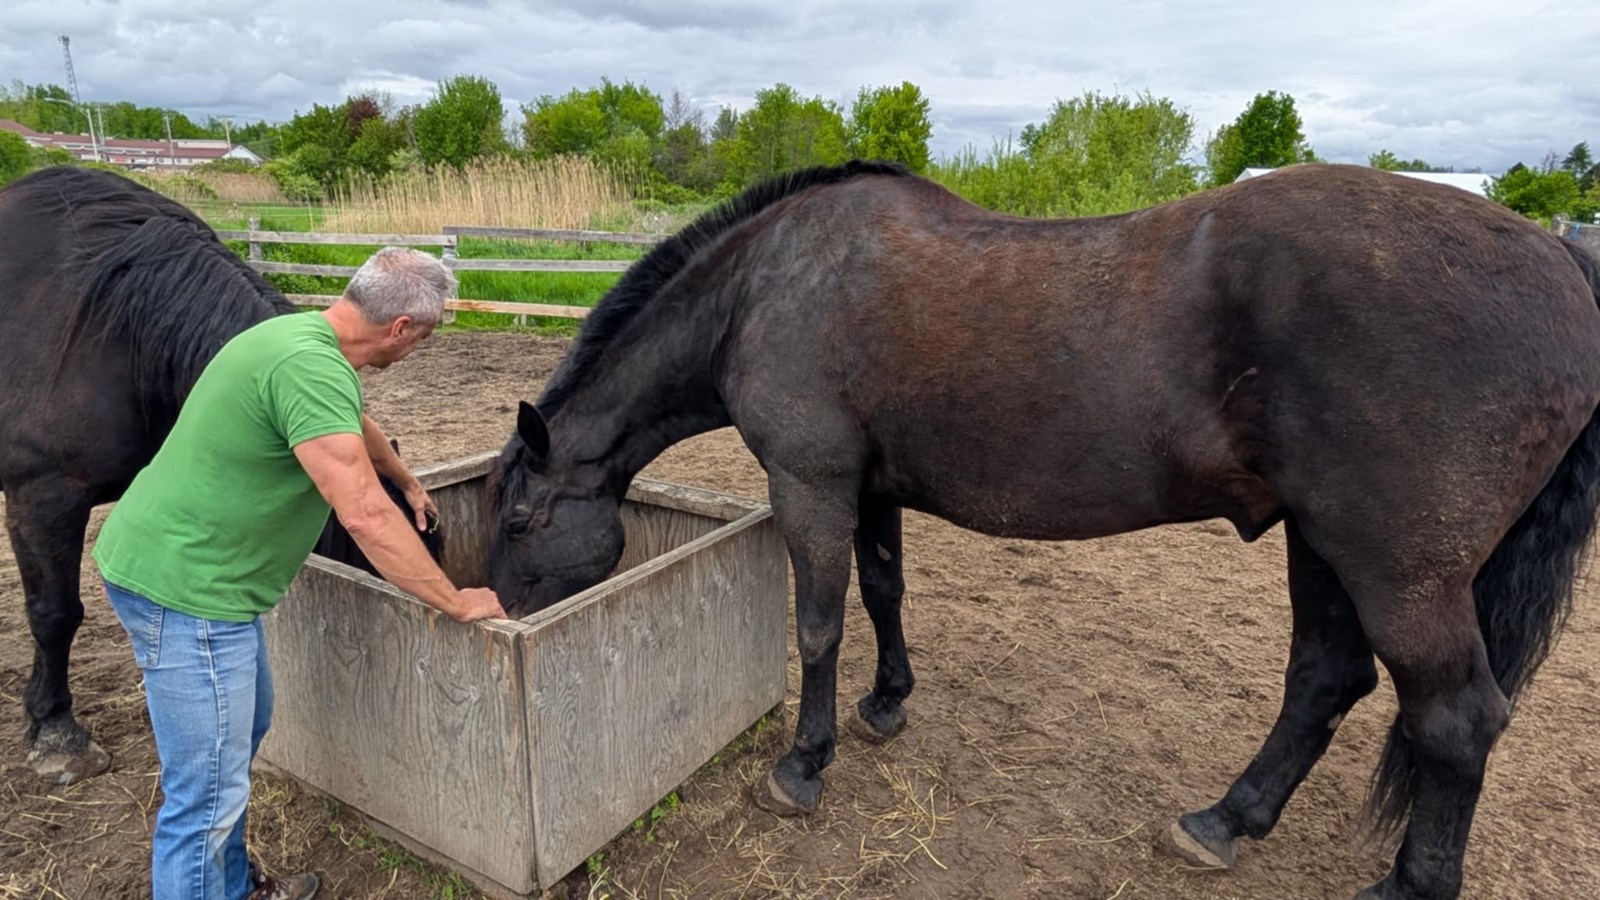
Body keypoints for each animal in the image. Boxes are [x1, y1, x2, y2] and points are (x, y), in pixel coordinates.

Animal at [484, 160, 1600, 899]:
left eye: (521, 515)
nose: (491, 611)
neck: (768, 285)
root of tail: (1558, 253)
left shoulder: (811, 483)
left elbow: (818, 623)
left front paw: (803, 765)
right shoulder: (871, 486)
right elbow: (883, 592)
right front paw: (887, 705)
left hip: (1398, 572)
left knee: (1454, 720)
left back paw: (1403, 883)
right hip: (1322, 544)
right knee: (1325, 681)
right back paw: (1222, 822)